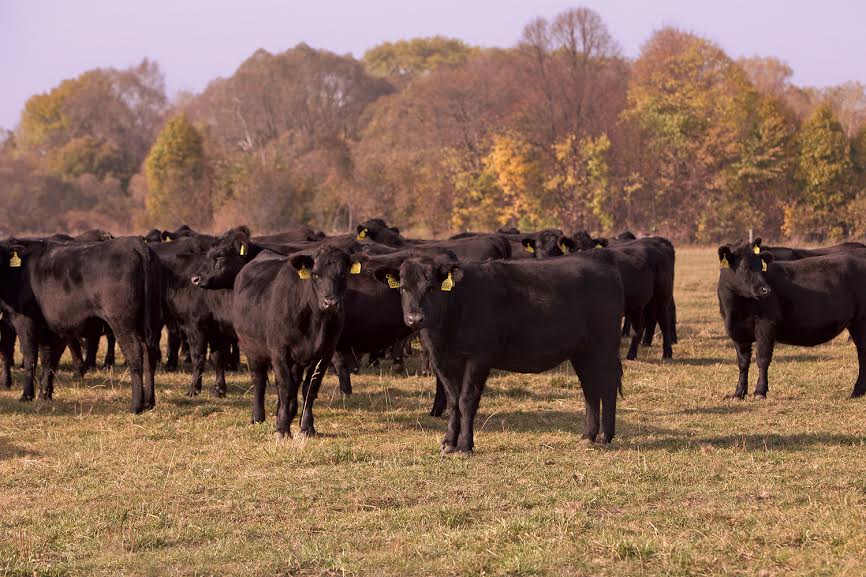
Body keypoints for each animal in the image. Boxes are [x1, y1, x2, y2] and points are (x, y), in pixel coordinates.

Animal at [0, 236, 161, 412]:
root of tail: (133, 242)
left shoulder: (24, 321)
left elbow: (30, 357)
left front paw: (27, 395)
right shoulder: (49, 327)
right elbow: (48, 359)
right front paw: (44, 395)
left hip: (122, 323)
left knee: (135, 354)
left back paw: (136, 405)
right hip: (148, 323)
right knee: (149, 353)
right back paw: (149, 402)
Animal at [372, 250, 620, 452]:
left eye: (431, 288)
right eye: (403, 288)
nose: (415, 318)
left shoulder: (478, 357)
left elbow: (467, 399)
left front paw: (464, 445)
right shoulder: (441, 359)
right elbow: (453, 400)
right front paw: (448, 442)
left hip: (604, 345)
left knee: (607, 387)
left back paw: (604, 437)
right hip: (582, 351)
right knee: (590, 389)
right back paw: (587, 436)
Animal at [720, 241, 864, 398]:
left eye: (761, 267)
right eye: (745, 267)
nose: (766, 290)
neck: (736, 310)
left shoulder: (766, 326)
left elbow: (762, 359)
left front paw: (760, 391)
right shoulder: (737, 333)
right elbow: (743, 362)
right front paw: (738, 393)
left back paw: (857, 391)